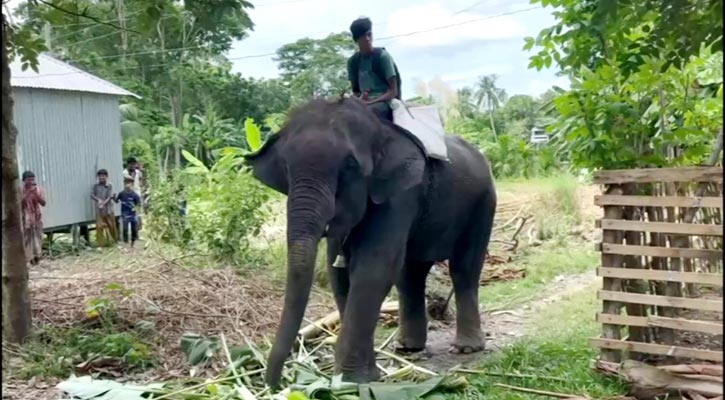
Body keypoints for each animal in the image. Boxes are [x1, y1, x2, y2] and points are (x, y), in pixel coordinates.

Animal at [245, 96, 498, 388]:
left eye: (349, 166)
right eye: (285, 167)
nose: (275, 384)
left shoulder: (401, 194)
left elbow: (373, 268)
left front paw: (352, 380)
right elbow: (338, 274)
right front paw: (358, 377)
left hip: (484, 202)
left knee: (463, 268)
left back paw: (466, 348)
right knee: (410, 274)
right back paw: (408, 348)